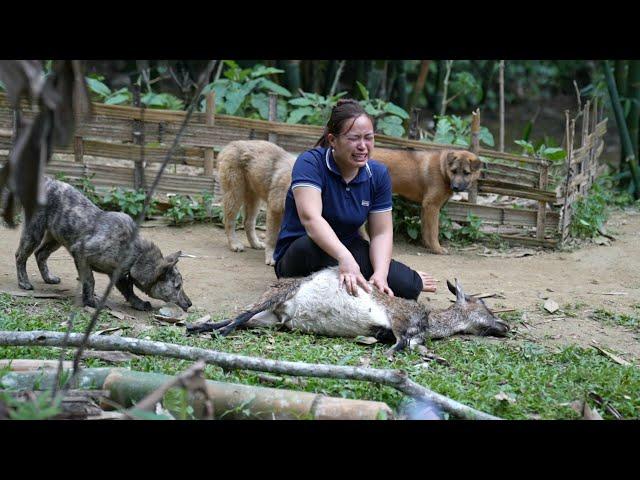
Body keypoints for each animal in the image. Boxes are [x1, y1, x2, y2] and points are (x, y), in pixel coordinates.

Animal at [14, 178, 190, 314]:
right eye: (177, 286)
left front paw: (138, 303)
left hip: (55, 238)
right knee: (20, 256)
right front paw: (91, 302)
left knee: (40, 254)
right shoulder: (81, 254)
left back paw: (48, 278)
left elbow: (128, 291)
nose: (190, 303)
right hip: (34, 232)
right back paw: (24, 282)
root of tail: (44, 180)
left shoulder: (119, 275)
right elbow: (89, 280)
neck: (136, 254)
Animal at [188, 266, 508, 356]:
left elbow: (407, 342)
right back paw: (217, 332)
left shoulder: (404, 330)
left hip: (270, 320)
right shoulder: (399, 318)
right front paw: (390, 355)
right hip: (275, 294)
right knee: (240, 316)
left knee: (243, 318)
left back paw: (198, 327)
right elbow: (401, 341)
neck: (430, 321)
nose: (505, 326)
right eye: (485, 306)